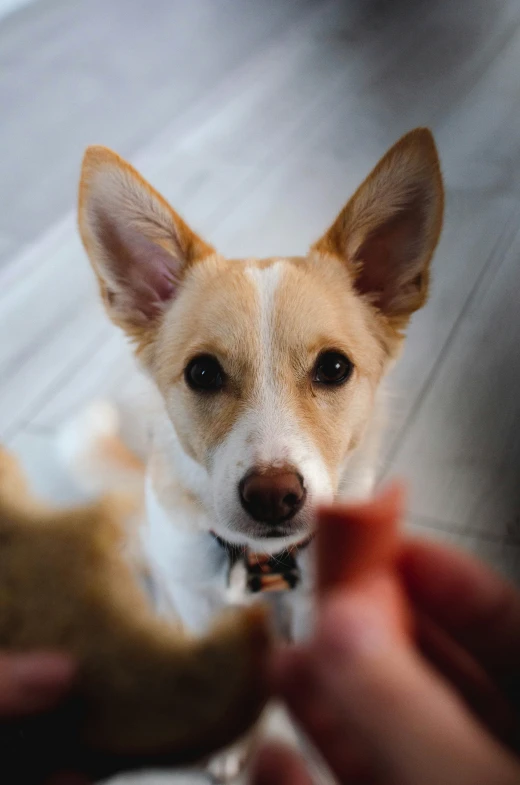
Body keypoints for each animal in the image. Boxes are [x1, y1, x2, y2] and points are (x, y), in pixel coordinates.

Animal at [77, 129, 442, 776]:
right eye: (202, 373)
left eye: (334, 368)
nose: (274, 497)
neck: (262, 567)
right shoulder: (202, 604)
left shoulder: (316, 605)